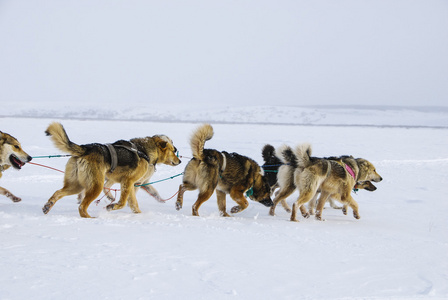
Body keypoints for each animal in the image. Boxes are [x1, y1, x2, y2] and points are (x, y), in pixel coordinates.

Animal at [42, 122, 181, 218]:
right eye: (174, 151)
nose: (180, 161)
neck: (145, 151)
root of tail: (86, 148)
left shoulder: (131, 184)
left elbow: (133, 203)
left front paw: (138, 214)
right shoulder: (127, 182)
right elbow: (123, 202)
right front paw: (112, 206)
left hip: (76, 185)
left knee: (58, 193)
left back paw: (48, 206)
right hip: (96, 185)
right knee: (82, 206)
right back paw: (90, 218)